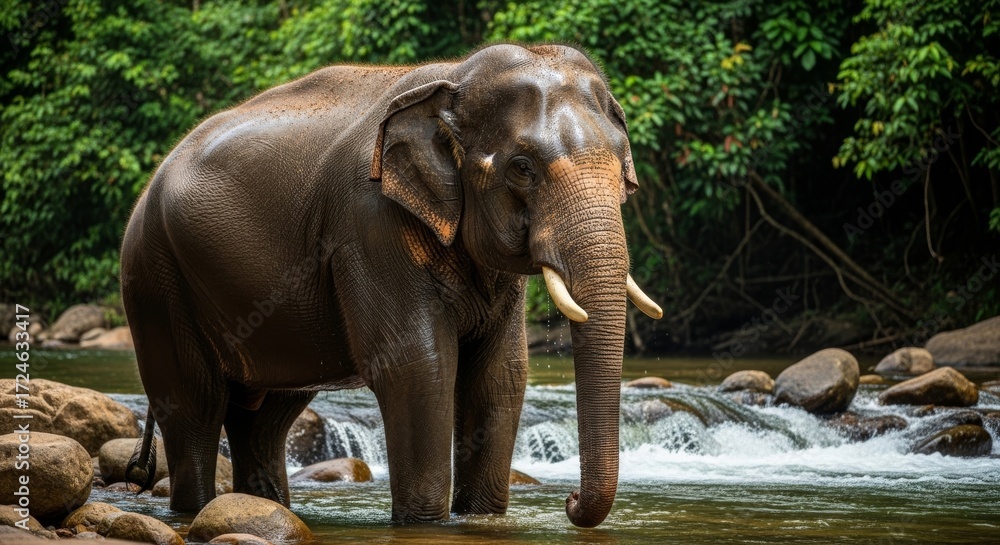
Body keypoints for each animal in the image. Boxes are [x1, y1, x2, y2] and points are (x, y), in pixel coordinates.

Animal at [120, 43, 662, 528]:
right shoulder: (368, 223)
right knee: (195, 406)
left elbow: (500, 374)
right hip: (154, 278)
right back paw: (194, 508)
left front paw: (481, 518)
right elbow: (419, 367)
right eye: (522, 168)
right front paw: (426, 523)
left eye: (622, 166)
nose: (569, 502)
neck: (454, 76)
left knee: (266, 416)